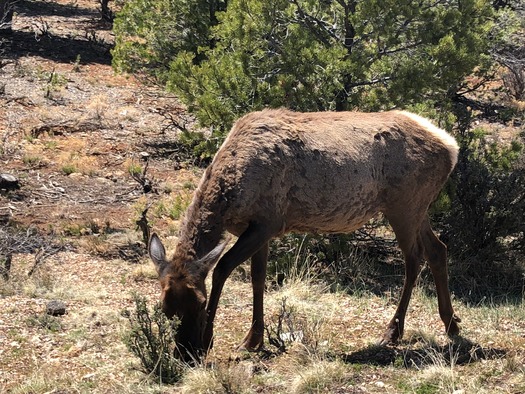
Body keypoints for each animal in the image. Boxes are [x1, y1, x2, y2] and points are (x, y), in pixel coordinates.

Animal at [147, 108, 458, 360]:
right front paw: (253, 340)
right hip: (419, 207)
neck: (230, 195)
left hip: (404, 205)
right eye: (163, 307)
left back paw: (393, 331)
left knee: (413, 258)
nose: (184, 351)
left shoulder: (268, 222)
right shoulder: (259, 228)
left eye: (200, 302)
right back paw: (451, 323)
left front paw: (209, 339)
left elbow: (223, 268)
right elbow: (258, 278)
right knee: (437, 249)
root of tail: (451, 147)